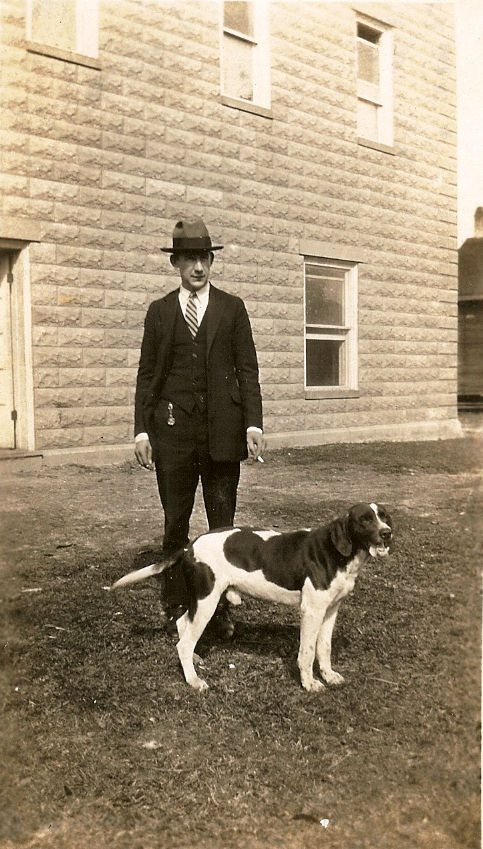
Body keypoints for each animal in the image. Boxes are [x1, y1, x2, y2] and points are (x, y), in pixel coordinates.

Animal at [112, 502, 392, 693]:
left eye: (384, 516)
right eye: (365, 520)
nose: (387, 533)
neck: (337, 553)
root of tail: (189, 546)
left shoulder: (330, 610)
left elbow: (324, 648)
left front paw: (329, 675)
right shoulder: (311, 611)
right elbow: (307, 651)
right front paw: (309, 683)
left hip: (202, 602)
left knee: (183, 628)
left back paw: (193, 661)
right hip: (207, 602)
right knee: (183, 642)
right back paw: (193, 680)